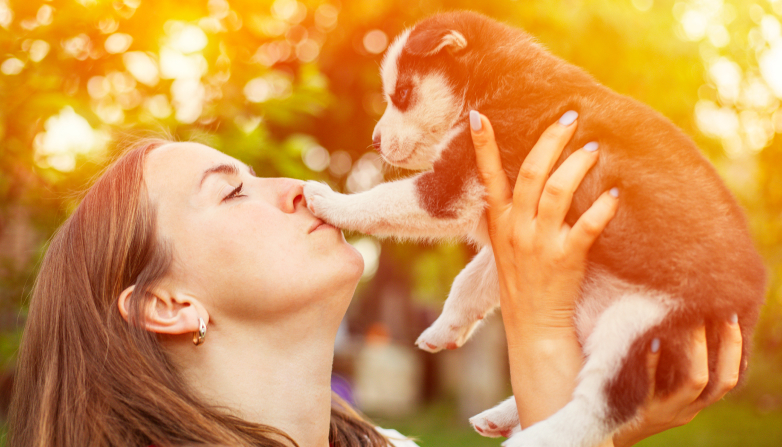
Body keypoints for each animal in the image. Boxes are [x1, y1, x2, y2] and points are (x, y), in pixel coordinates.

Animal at [304, 10, 768, 447]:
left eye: (402, 94)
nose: (374, 141)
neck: (492, 82)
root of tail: (746, 324)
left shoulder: (453, 184)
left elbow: (382, 200)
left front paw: (331, 200)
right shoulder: (506, 224)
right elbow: (469, 280)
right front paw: (444, 328)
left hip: (643, 325)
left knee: (606, 403)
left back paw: (535, 436)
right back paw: (502, 416)